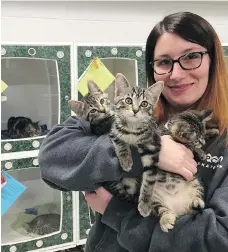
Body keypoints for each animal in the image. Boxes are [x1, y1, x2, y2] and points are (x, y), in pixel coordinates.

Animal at [110, 73, 165, 217]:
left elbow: (149, 180)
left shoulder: (152, 146)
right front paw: (126, 160)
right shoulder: (113, 131)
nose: (135, 110)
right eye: (128, 100)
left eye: (144, 103)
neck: (132, 129)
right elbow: (120, 142)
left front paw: (145, 204)